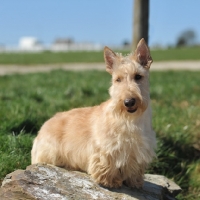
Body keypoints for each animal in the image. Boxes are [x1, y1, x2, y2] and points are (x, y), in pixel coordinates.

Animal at [31, 38, 156, 189]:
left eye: (138, 76)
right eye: (117, 79)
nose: (129, 102)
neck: (130, 119)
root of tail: (42, 128)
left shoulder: (138, 150)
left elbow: (134, 168)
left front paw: (135, 181)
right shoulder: (106, 148)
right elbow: (106, 164)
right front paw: (109, 181)